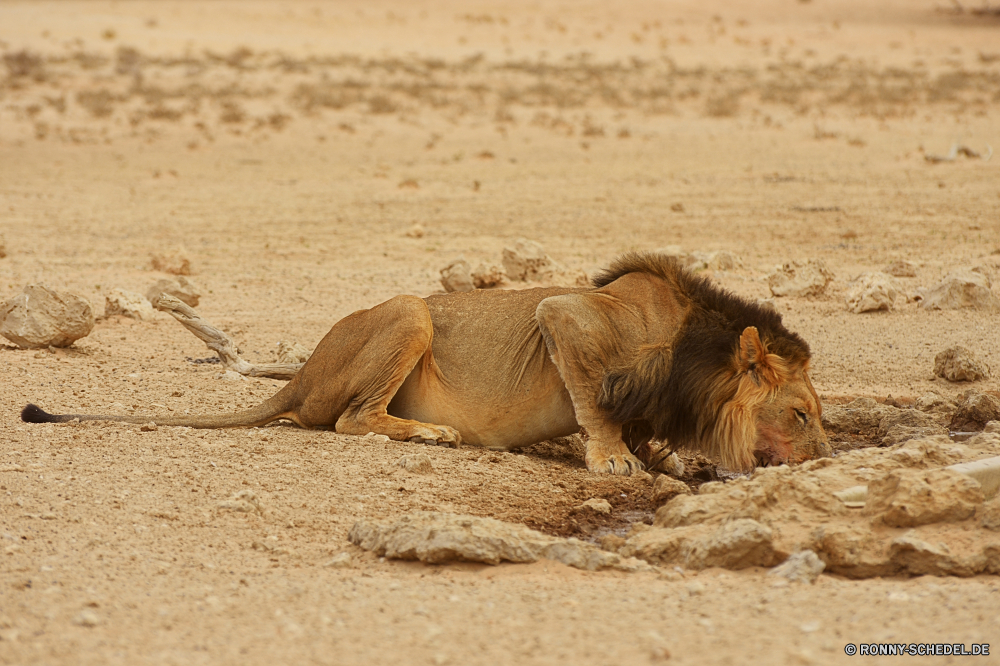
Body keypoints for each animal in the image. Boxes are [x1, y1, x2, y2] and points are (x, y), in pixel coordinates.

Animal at [21, 249, 828, 472]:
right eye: (800, 413)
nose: (824, 457)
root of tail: (302, 375)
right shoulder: (563, 317)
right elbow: (596, 403)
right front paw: (613, 461)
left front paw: (672, 462)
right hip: (409, 311)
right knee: (351, 420)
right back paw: (434, 434)